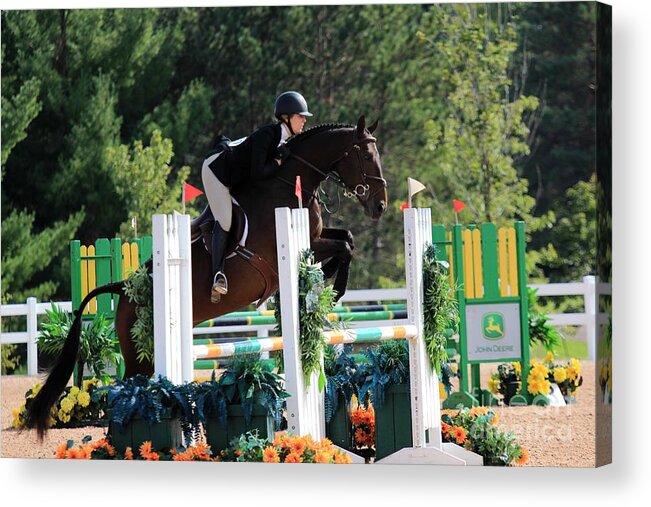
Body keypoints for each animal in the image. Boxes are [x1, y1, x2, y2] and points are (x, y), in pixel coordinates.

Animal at [26, 115, 388, 436]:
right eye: (365, 156)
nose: (381, 206)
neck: (289, 181)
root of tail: (125, 289)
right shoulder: (289, 246)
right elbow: (344, 246)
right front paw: (335, 288)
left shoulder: (314, 237)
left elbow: (347, 240)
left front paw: (327, 280)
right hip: (142, 353)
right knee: (124, 392)